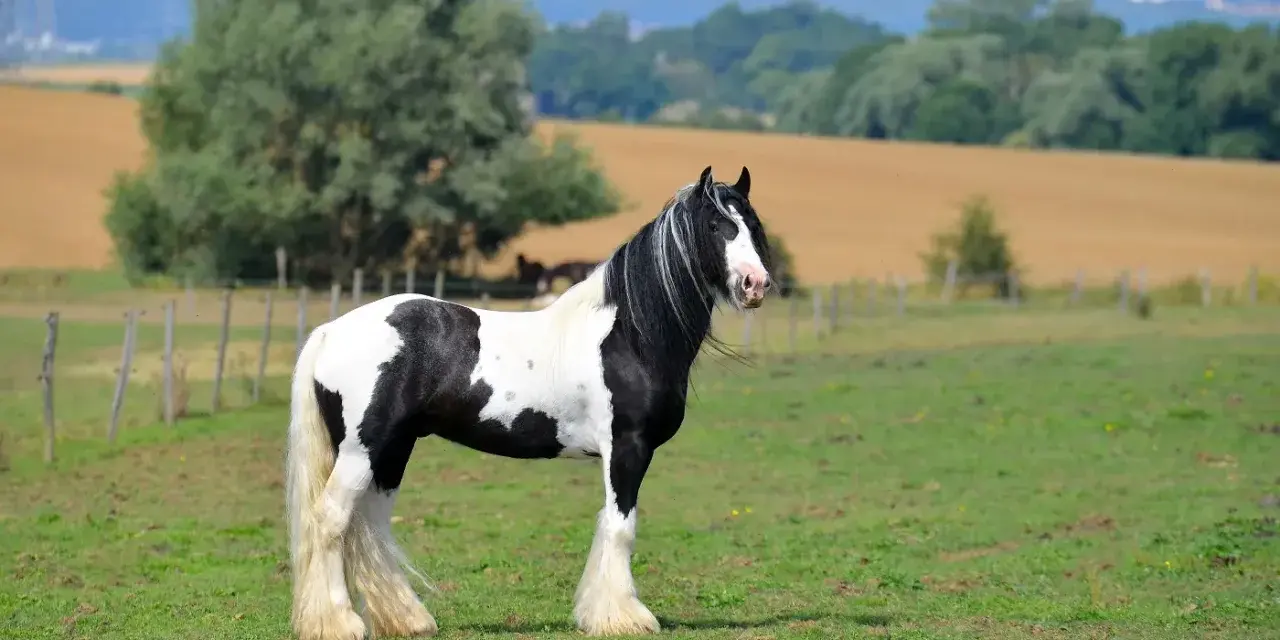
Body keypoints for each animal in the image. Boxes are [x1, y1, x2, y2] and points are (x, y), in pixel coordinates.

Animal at [284, 165, 773, 640]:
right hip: (361, 449)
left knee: (369, 525)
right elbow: (621, 528)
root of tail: (331, 331)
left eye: (751, 223)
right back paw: (337, 623)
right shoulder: (627, 447)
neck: (629, 335)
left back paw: (408, 620)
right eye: (715, 225)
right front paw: (624, 618)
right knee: (331, 520)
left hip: (393, 449)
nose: (757, 284)